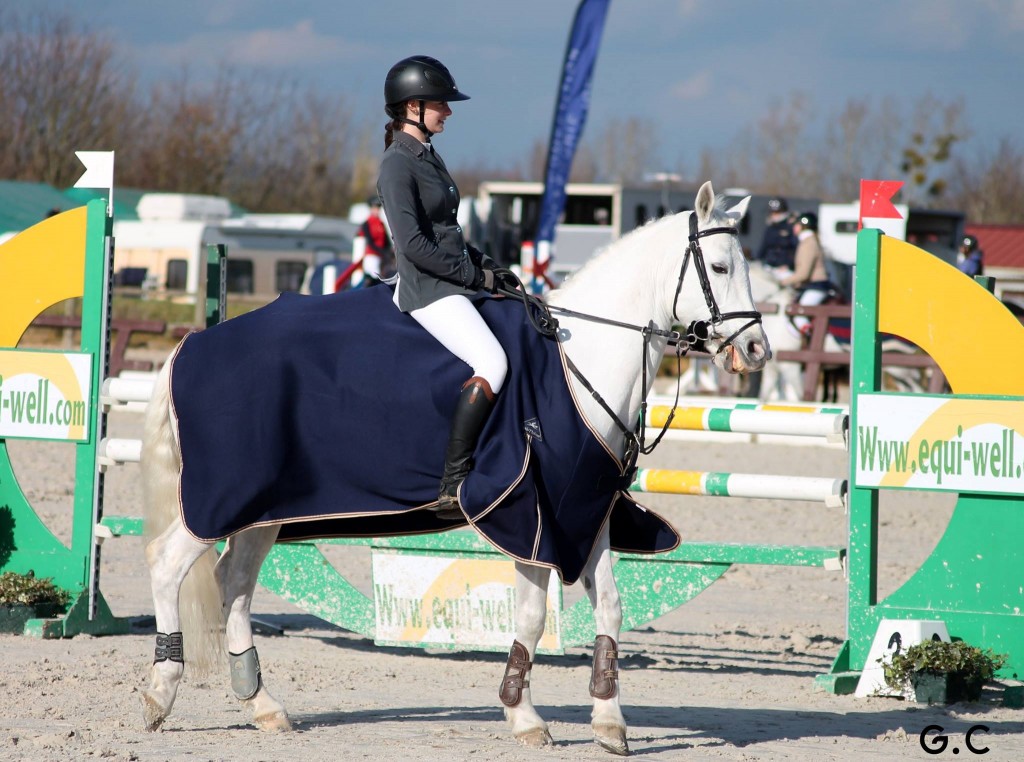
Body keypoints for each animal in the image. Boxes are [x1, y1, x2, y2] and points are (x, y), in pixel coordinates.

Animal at [142, 180, 770, 757]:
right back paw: (160, 692)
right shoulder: (533, 515)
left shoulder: (584, 509)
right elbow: (533, 614)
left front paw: (608, 721)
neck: (578, 359)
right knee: (168, 565)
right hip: (223, 500)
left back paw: (262, 705)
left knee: (235, 583)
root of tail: (190, 346)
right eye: (719, 266)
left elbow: (608, 607)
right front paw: (525, 717)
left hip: (265, 510)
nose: (757, 351)